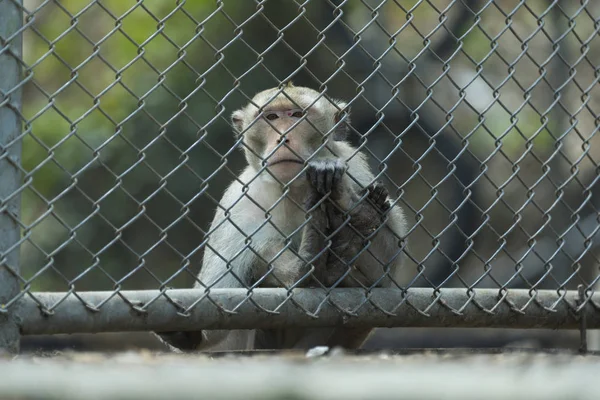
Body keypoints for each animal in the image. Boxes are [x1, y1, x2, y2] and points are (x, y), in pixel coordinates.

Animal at [154, 83, 408, 352]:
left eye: (296, 115)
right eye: (272, 117)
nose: (283, 137)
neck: (293, 189)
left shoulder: (355, 170)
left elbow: (383, 284)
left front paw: (355, 208)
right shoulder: (237, 206)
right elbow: (220, 311)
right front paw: (185, 330)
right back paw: (306, 265)